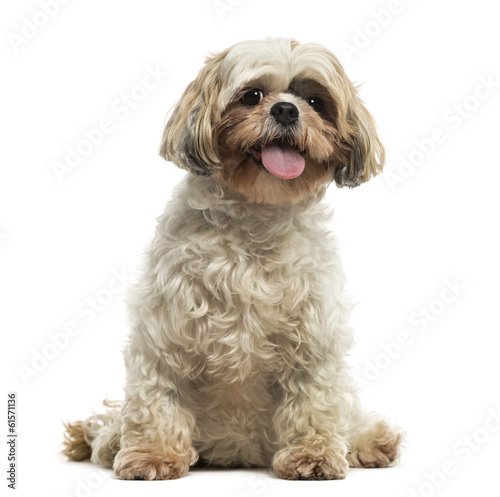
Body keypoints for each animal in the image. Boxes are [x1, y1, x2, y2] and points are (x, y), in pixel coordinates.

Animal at [63, 36, 406, 478]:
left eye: (315, 101)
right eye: (252, 95)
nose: (286, 108)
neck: (256, 216)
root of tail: (239, 451)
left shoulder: (313, 337)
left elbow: (314, 400)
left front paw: (313, 454)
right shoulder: (164, 331)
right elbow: (158, 397)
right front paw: (152, 454)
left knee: (347, 410)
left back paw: (369, 440)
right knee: (111, 424)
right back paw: (108, 441)